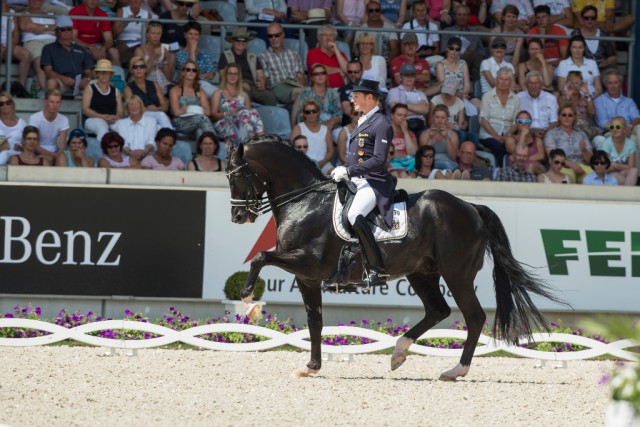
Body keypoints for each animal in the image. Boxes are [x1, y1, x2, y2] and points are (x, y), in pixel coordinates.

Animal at [225, 137, 564, 382]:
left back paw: (455, 370)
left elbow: (260, 257)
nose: (239, 216)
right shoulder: (306, 277)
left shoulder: (309, 263)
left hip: (457, 274)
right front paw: (311, 366)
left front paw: (249, 300)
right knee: (438, 310)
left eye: (238, 176)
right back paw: (399, 352)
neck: (304, 201)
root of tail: (471, 207)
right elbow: (315, 321)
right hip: (422, 273)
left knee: (474, 317)